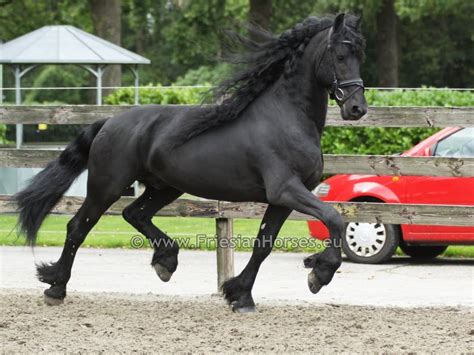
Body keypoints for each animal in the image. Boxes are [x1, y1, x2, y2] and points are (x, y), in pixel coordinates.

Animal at [15, 15, 366, 312]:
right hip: (107, 187)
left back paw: (166, 261)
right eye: (339, 56)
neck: (286, 117)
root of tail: (109, 122)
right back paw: (55, 287)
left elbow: (263, 244)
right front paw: (319, 273)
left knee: (134, 213)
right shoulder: (285, 190)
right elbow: (334, 218)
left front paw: (240, 295)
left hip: (165, 187)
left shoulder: (283, 198)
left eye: (359, 55)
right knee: (79, 227)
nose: (357, 108)